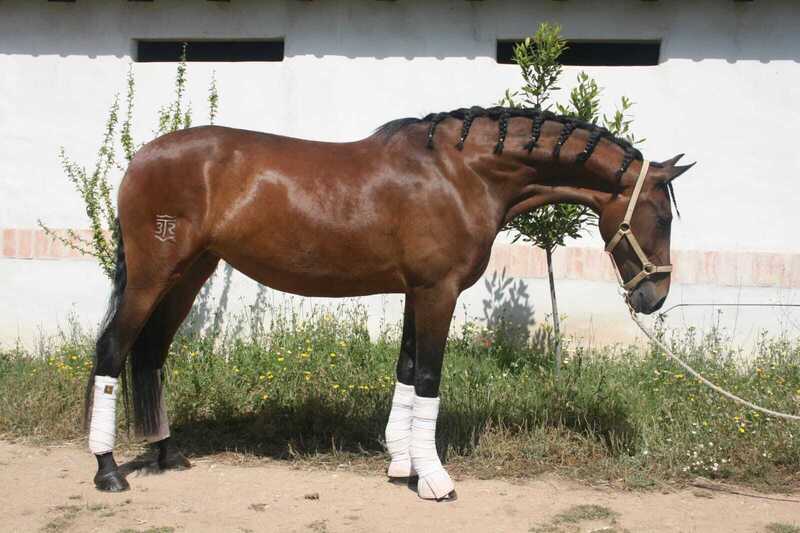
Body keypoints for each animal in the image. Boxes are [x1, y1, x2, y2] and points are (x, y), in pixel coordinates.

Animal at [85, 105, 693, 501]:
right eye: (661, 216)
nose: (654, 296)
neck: (460, 172)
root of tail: (140, 158)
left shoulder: (414, 292)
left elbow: (404, 373)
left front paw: (403, 465)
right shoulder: (437, 292)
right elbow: (427, 379)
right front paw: (435, 479)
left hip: (190, 274)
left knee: (151, 354)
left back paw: (168, 455)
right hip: (154, 275)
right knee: (113, 351)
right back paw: (109, 470)